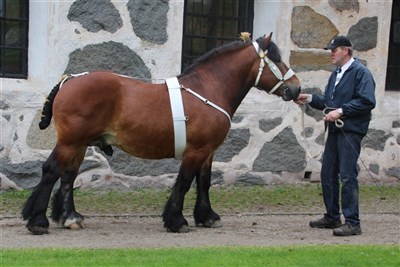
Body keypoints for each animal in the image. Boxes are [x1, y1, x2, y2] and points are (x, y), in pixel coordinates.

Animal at [21, 33, 300, 234]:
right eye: (276, 59)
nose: (296, 89)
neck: (208, 88)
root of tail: (69, 80)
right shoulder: (195, 150)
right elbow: (185, 181)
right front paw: (176, 220)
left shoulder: (208, 151)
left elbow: (204, 182)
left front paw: (207, 217)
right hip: (70, 142)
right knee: (51, 171)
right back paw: (38, 221)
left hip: (79, 144)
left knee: (68, 176)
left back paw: (69, 218)